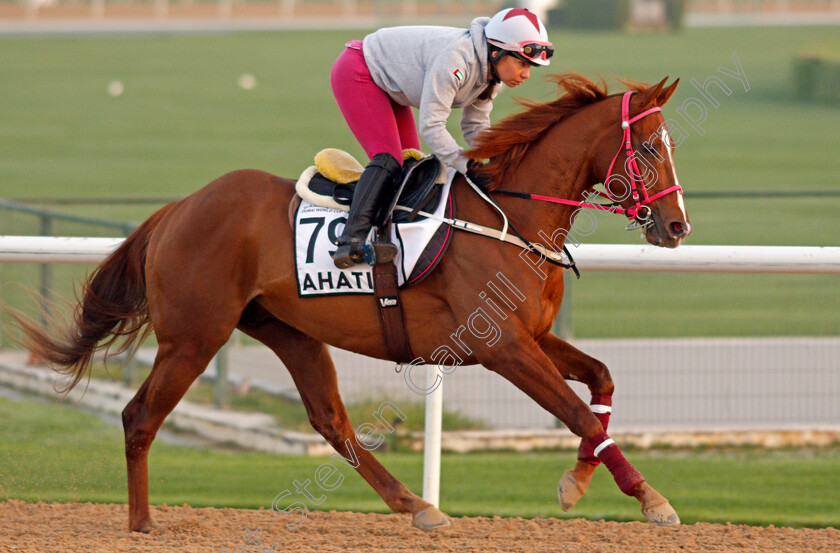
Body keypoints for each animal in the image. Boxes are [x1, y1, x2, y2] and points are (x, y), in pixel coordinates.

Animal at [18, 73, 688, 532]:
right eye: (650, 149)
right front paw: (651, 498)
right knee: (139, 417)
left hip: (289, 331)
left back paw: (417, 505)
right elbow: (577, 413)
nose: (677, 227)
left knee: (331, 421)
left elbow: (600, 381)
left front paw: (577, 480)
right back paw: (141, 523)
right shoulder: (501, 346)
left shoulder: (535, 336)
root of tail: (178, 209)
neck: (512, 219)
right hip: (193, 337)